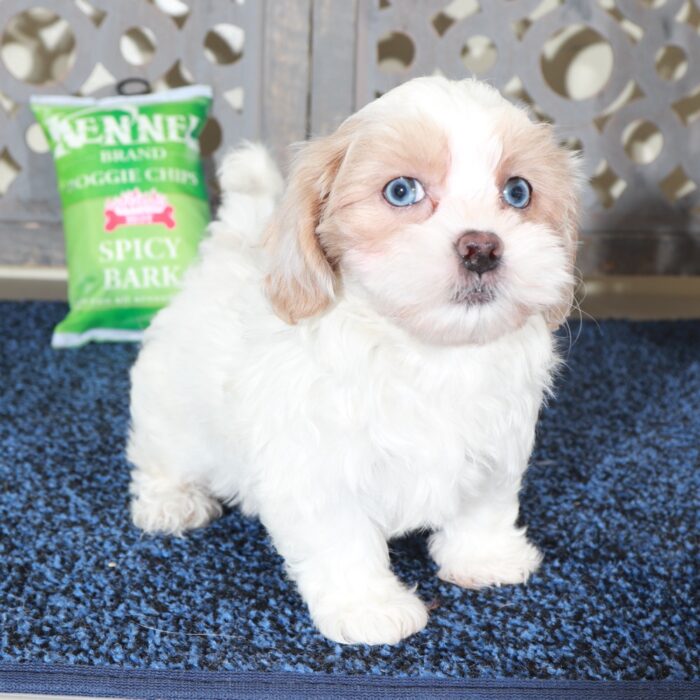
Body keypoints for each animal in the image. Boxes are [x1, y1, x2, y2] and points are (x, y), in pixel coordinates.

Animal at [129, 76, 584, 644]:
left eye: (518, 192)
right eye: (401, 191)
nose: (482, 247)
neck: (428, 352)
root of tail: (230, 247)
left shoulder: (498, 446)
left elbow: (486, 505)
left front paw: (485, 558)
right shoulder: (318, 470)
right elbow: (342, 541)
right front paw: (369, 607)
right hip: (170, 408)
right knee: (158, 455)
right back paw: (170, 501)